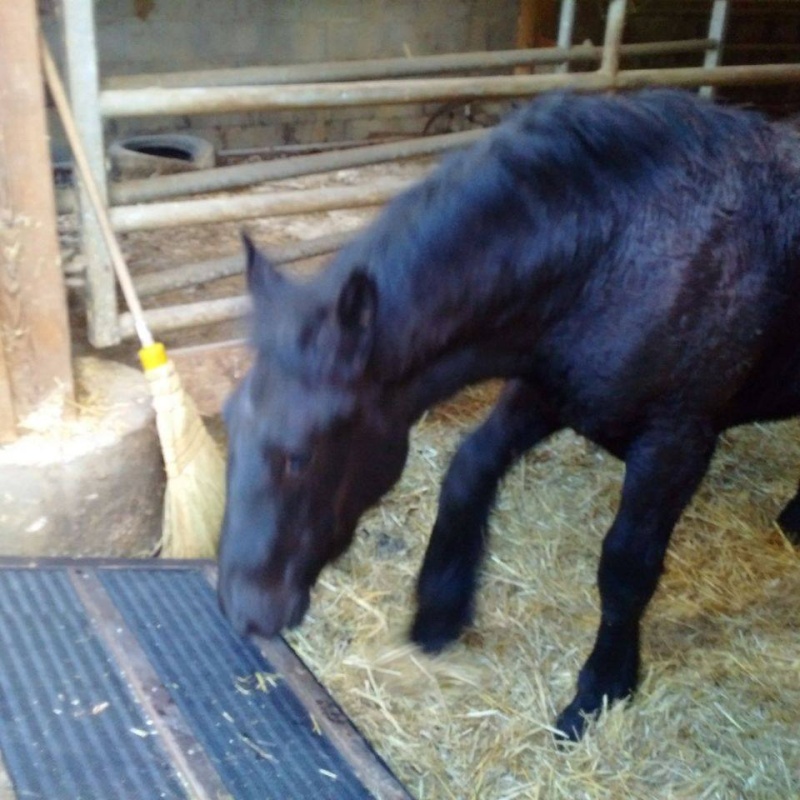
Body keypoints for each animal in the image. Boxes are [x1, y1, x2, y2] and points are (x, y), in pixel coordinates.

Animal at [217, 87, 800, 736]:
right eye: (228, 425)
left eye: (299, 457)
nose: (244, 613)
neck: (619, 251)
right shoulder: (543, 393)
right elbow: (468, 469)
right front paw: (439, 611)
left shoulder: (675, 441)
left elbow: (626, 567)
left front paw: (600, 690)